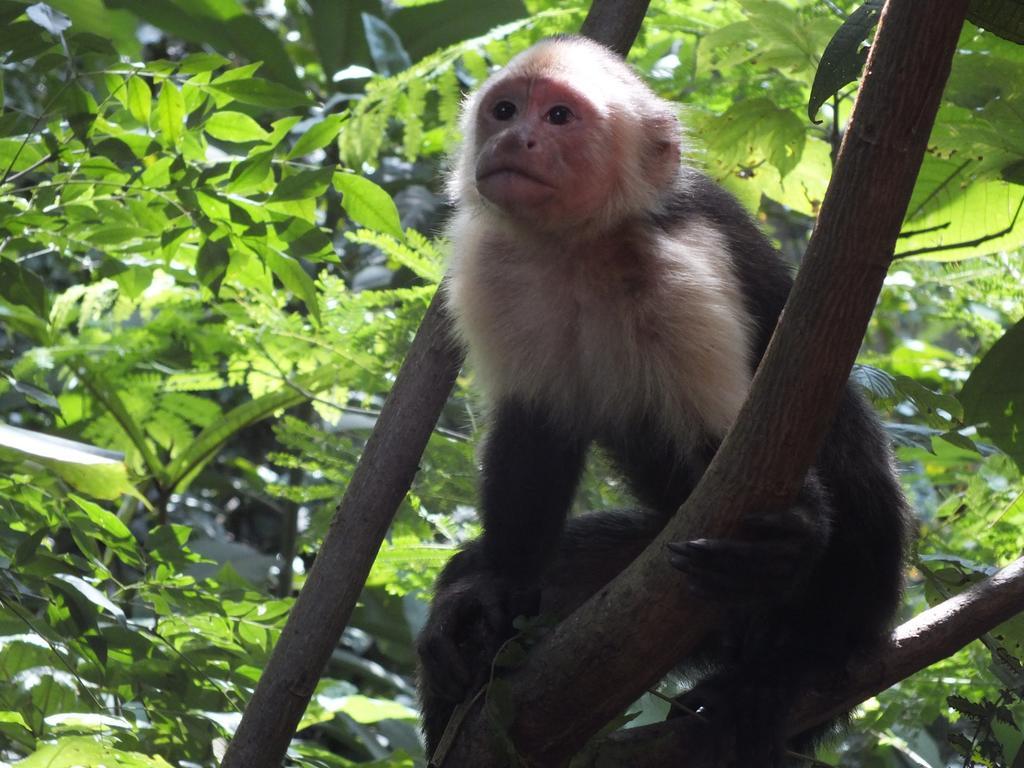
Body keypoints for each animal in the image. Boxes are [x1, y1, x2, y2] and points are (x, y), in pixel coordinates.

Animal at [417, 33, 913, 765]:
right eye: (504, 111)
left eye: (558, 117)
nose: (515, 139)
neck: (582, 244)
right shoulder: (492, 262)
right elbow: (534, 430)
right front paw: (491, 592)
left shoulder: (681, 261)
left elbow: (738, 443)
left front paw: (789, 535)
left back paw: (784, 670)